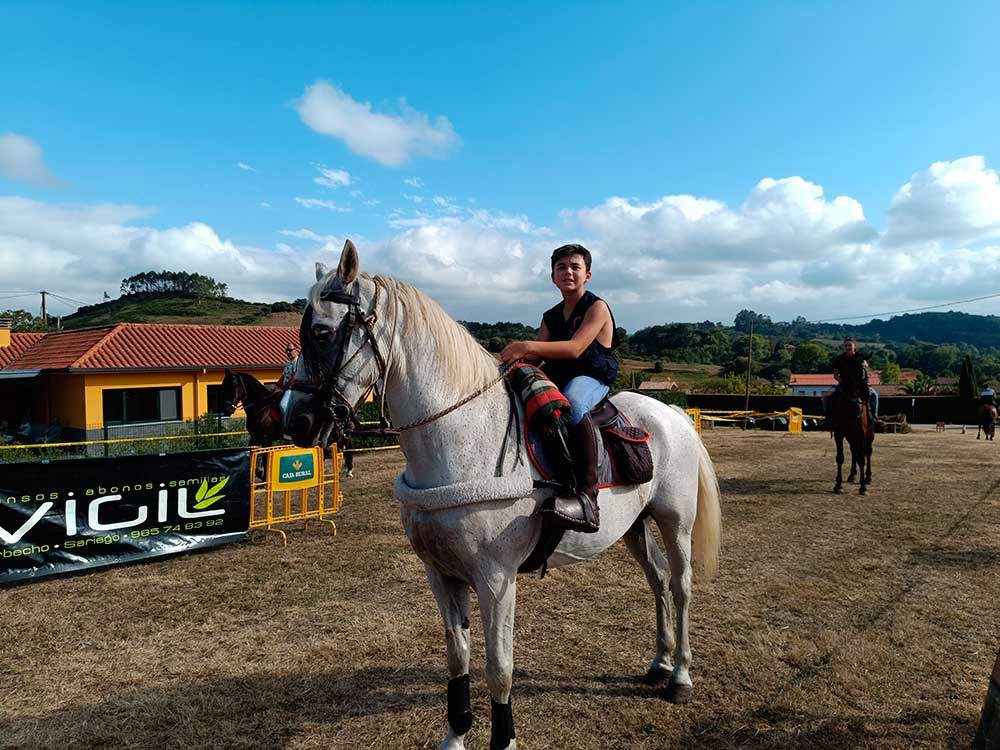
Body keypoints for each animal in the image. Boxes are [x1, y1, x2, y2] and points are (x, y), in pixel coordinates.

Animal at [282, 240, 722, 750]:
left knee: (681, 586)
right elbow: (458, 657)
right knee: (657, 582)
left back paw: (681, 677)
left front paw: (504, 739)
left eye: (321, 331)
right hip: (634, 526)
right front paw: (455, 734)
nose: (296, 422)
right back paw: (659, 663)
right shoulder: (440, 574)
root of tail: (673, 413)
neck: (460, 436)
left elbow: (499, 668)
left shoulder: (496, 579)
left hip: (675, 520)